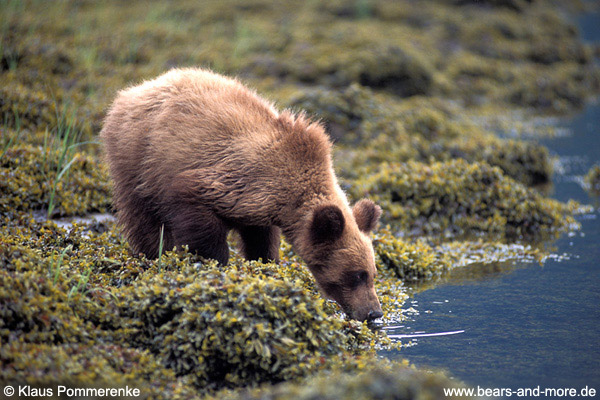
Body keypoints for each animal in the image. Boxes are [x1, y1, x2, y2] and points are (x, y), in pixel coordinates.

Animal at [100, 66, 382, 322]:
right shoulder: (228, 181)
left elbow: (261, 241)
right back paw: (153, 255)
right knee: (143, 218)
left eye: (372, 272)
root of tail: (136, 89)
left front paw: (264, 264)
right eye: (357, 274)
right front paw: (213, 265)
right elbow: (199, 219)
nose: (374, 312)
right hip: (139, 158)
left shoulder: (258, 207)